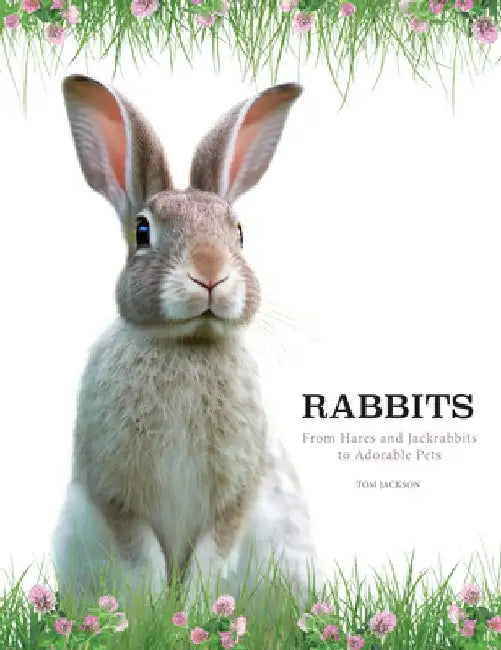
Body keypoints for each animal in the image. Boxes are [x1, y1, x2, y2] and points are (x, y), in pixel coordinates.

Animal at [52, 74, 325, 610]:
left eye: (238, 233)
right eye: (142, 230)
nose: (210, 274)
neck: (186, 344)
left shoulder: (234, 497)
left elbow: (210, 560)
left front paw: (194, 613)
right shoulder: (116, 496)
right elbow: (144, 563)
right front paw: (154, 615)